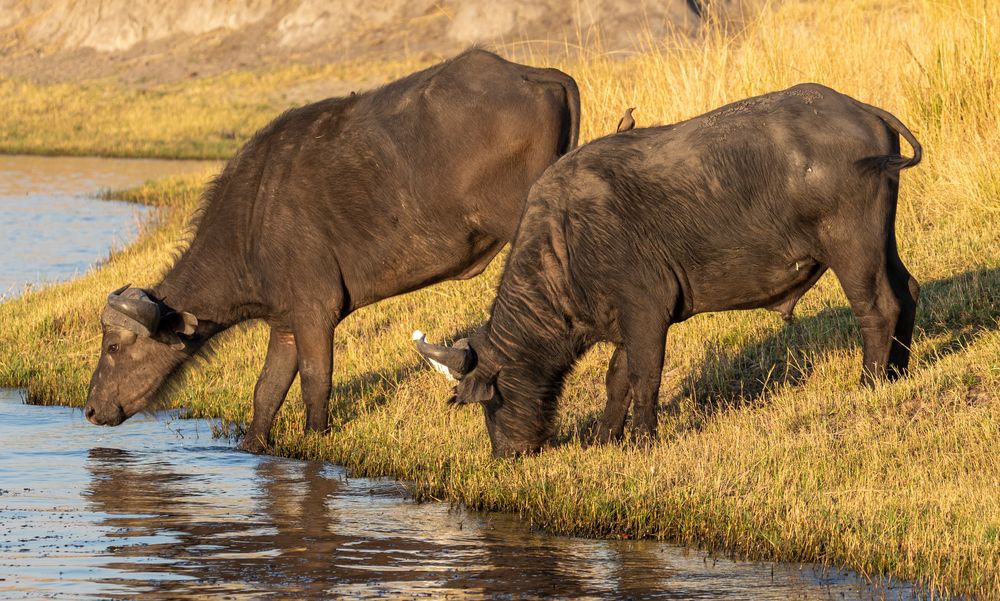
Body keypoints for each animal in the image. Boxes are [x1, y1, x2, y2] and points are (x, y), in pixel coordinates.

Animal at [88, 48, 584, 450]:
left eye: (113, 346)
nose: (91, 409)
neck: (253, 218)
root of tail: (537, 76)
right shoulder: (285, 322)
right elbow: (267, 390)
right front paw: (254, 444)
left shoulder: (315, 312)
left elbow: (315, 380)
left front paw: (316, 437)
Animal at [414, 83, 920, 454]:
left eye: (491, 400)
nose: (506, 452)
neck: (564, 244)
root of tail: (862, 109)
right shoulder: (625, 323)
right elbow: (617, 379)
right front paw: (606, 438)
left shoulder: (646, 313)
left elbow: (645, 378)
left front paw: (643, 439)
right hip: (882, 241)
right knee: (908, 291)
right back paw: (898, 372)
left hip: (851, 246)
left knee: (877, 308)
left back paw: (870, 381)